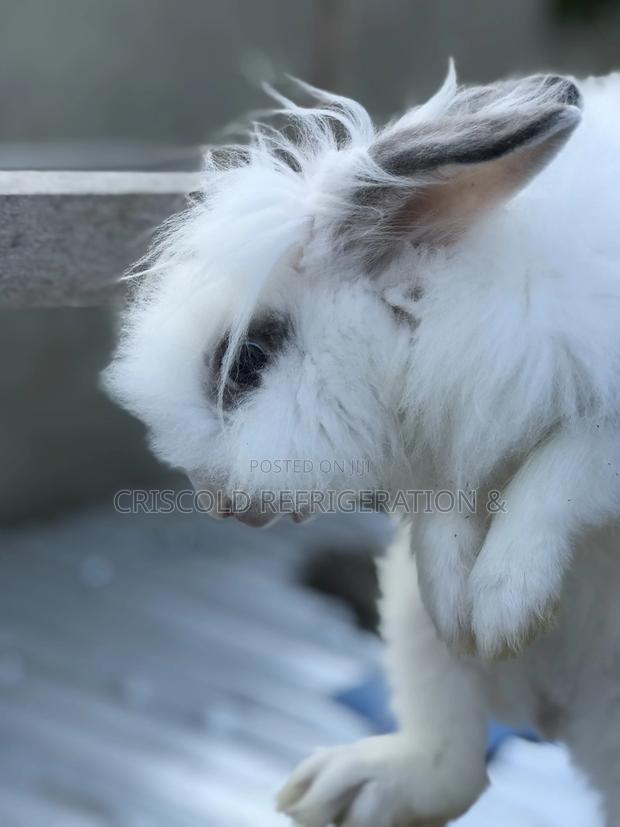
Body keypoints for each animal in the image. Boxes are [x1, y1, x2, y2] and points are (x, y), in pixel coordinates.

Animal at [103, 66, 620, 824]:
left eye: (247, 360)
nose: (218, 502)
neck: (437, 299)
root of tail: (554, 714)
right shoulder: (445, 449)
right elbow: (443, 511)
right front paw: (459, 600)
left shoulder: (603, 428)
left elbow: (562, 469)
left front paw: (503, 603)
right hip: (409, 627)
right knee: (452, 763)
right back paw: (345, 786)